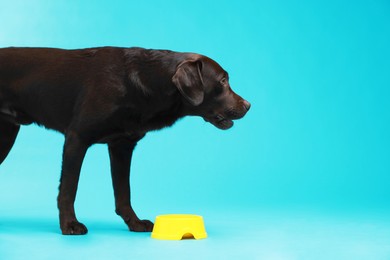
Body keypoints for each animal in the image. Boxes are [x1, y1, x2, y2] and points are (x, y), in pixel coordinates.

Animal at [0, 45, 250, 235]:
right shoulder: (76, 139)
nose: (248, 105)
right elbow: (69, 189)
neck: (145, 82)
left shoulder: (122, 146)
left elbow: (123, 192)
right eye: (223, 81)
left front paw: (134, 223)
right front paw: (70, 224)